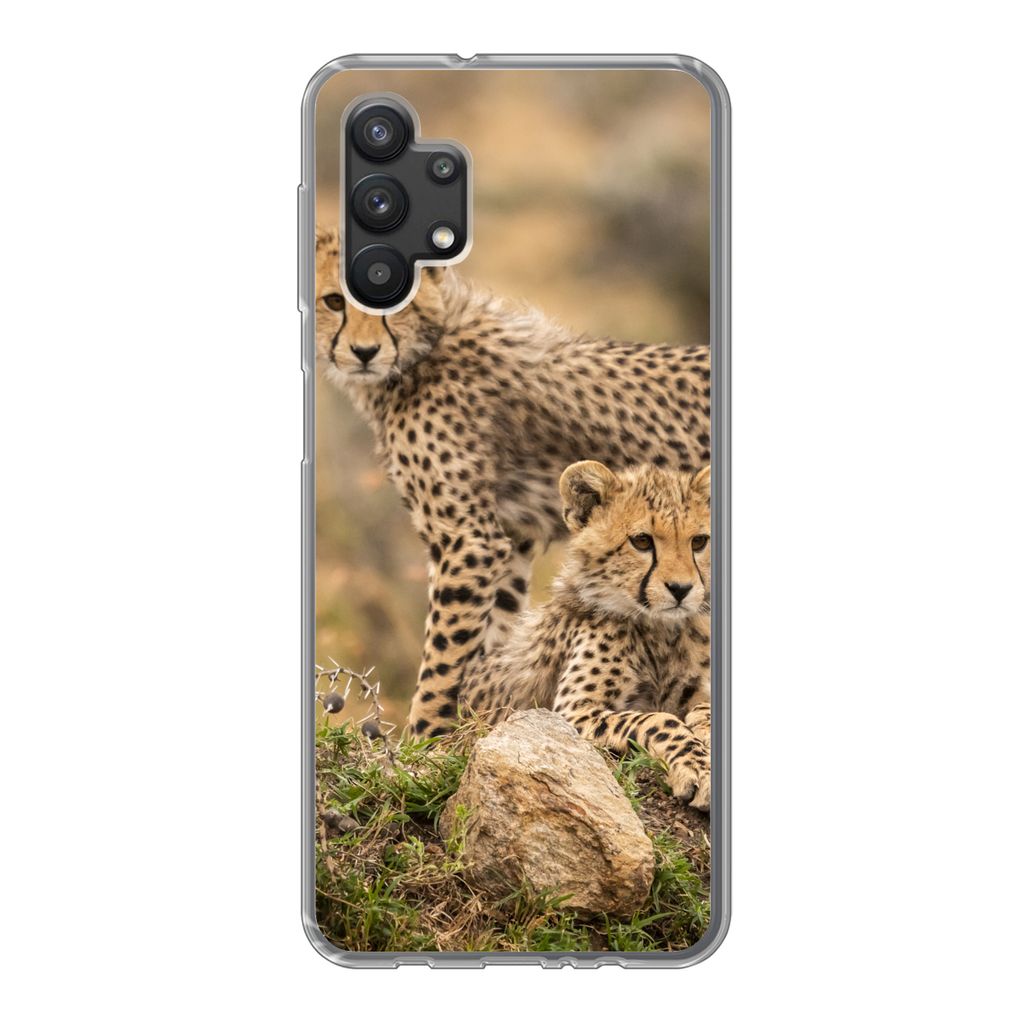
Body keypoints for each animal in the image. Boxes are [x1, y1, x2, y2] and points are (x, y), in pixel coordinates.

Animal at [314, 225, 711, 737]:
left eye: (397, 304)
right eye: (332, 302)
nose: (365, 353)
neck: (427, 349)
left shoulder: (469, 540)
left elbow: (443, 658)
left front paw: (424, 742)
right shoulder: (509, 537)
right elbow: (488, 641)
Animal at [460, 460, 712, 810]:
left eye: (699, 541)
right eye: (642, 541)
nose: (681, 589)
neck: (659, 631)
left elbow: (704, 710)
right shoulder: (570, 712)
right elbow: (659, 720)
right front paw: (698, 770)